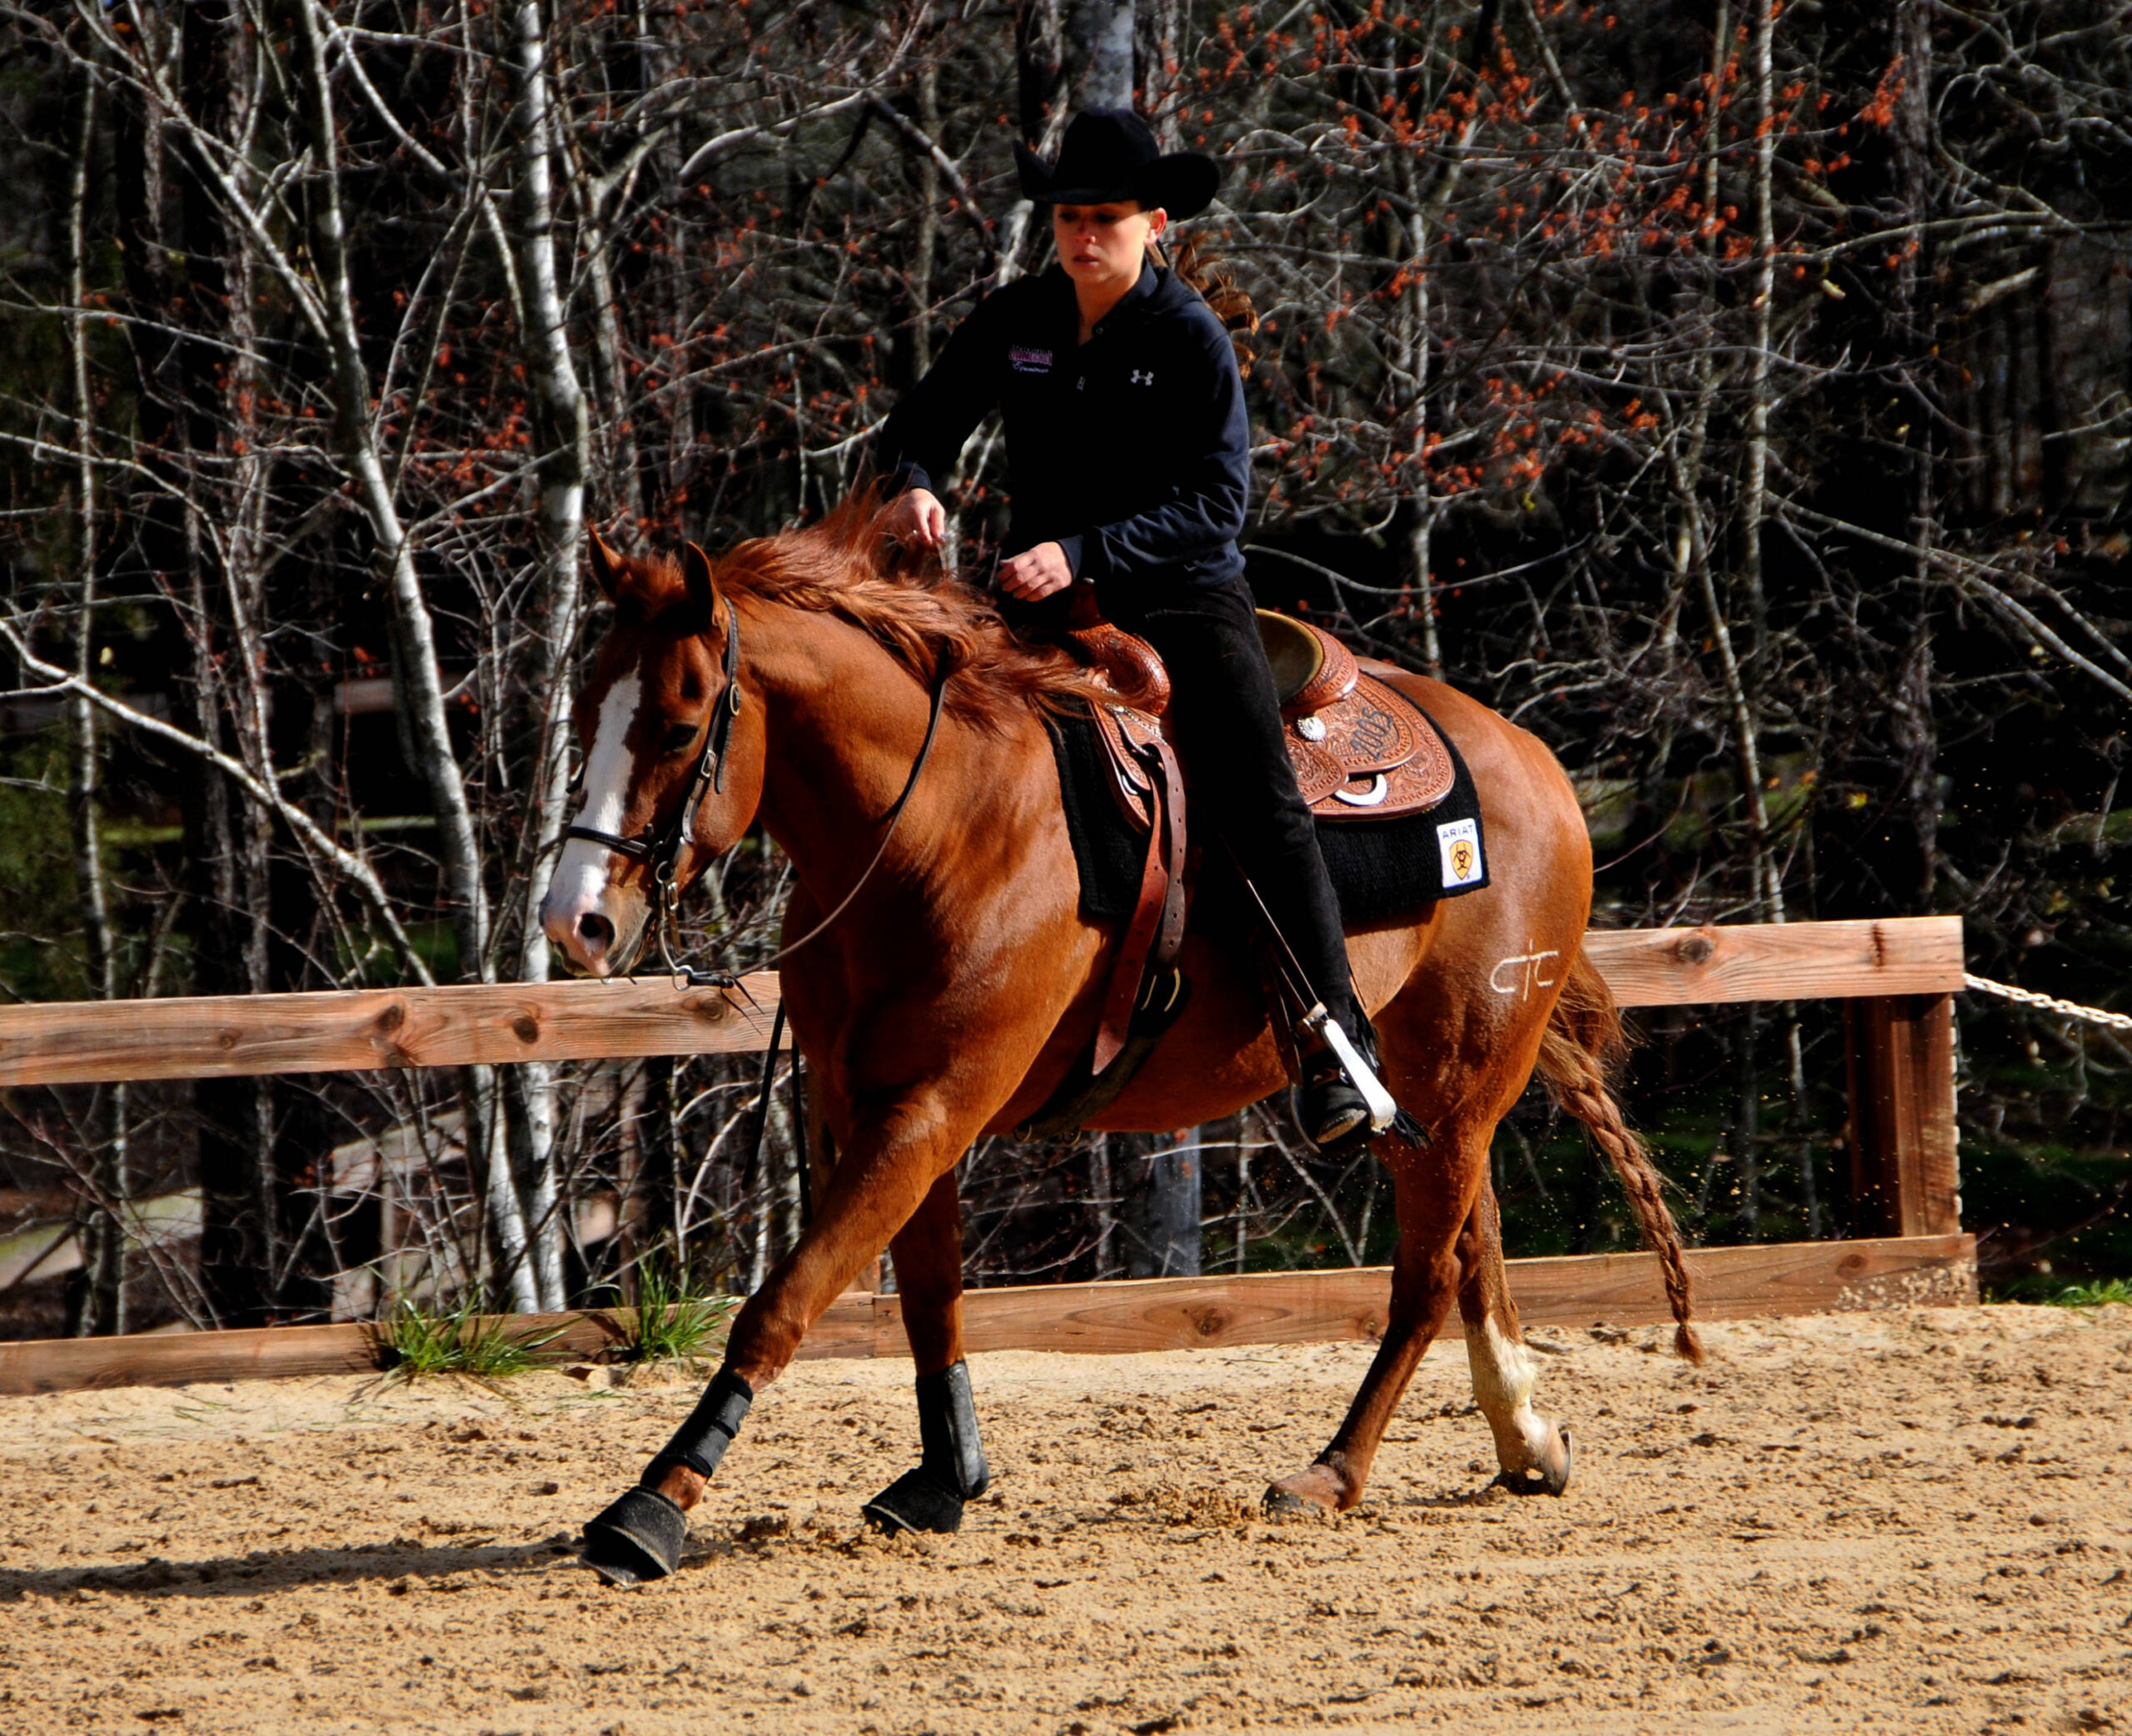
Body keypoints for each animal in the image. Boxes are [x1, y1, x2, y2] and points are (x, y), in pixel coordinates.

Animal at [537, 505, 1696, 1586]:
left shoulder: (928, 1108)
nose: (575, 921)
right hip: (1438, 1090)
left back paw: (1332, 1473)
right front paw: (945, 1479)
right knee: (1470, 1246)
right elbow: (929, 1299)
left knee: (1421, 1280)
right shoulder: (883, 1105)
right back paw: (1525, 1439)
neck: (942, 824)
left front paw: (649, 1508)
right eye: (586, 713)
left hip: (1460, 1077)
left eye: (680, 724)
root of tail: (1539, 764)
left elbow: (781, 1308)